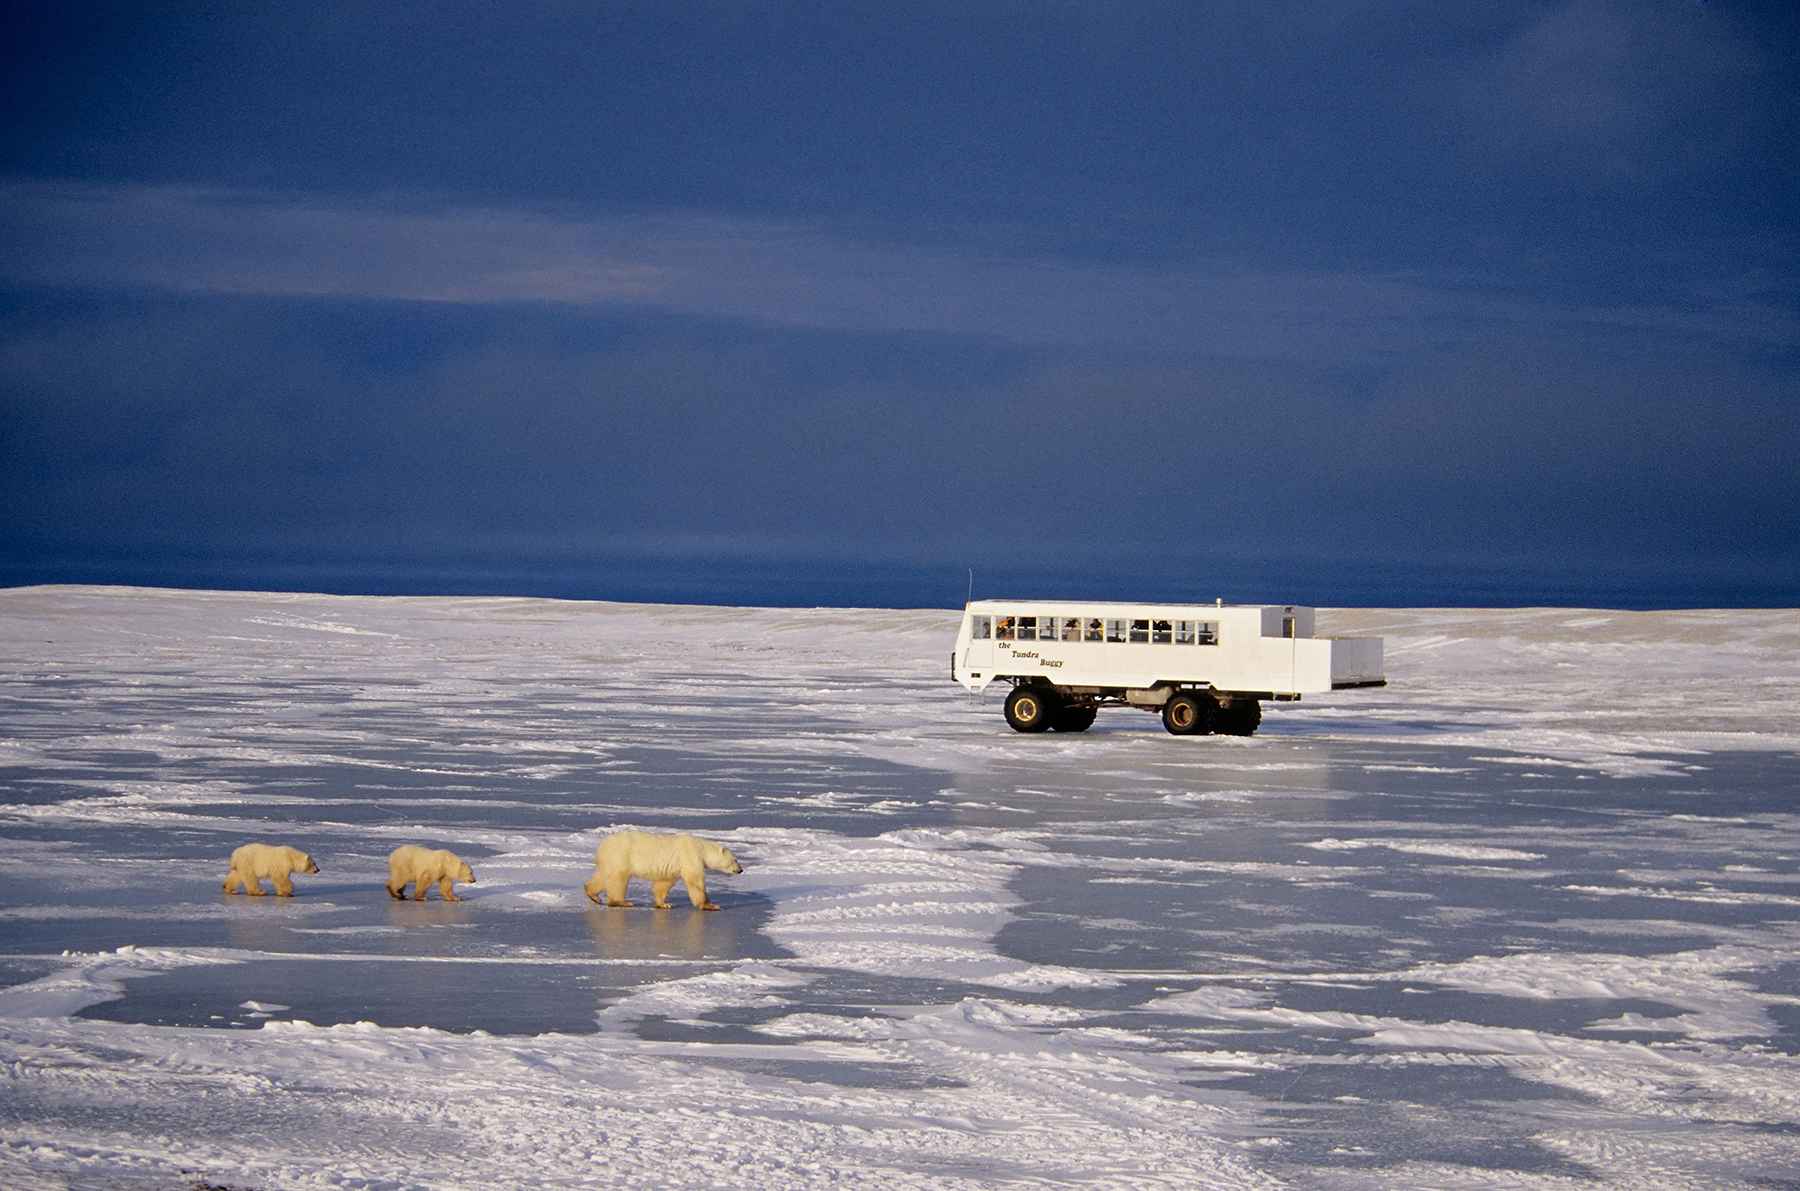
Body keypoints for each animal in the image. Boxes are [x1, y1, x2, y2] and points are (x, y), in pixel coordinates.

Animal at [583, 831, 738, 913]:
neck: (701, 848)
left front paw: (664, 904)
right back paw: (622, 902)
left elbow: (664, 883)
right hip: (621, 855)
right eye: (735, 859)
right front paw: (711, 905)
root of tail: (603, 845)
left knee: (603, 876)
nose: (740, 869)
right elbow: (695, 882)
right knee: (618, 879)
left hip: (611, 860)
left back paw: (593, 895)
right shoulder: (690, 856)